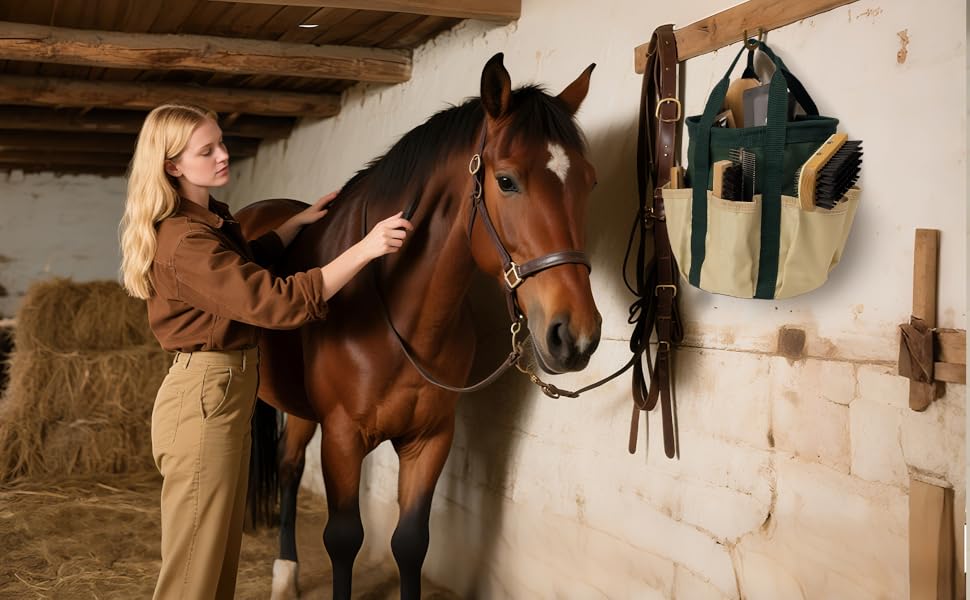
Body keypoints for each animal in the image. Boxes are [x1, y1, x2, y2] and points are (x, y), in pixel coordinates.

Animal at [236, 53, 601, 600]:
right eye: (506, 181)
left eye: (588, 182)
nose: (574, 335)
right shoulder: (341, 437)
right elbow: (343, 539)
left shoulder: (430, 439)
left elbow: (410, 543)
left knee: (287, 462)